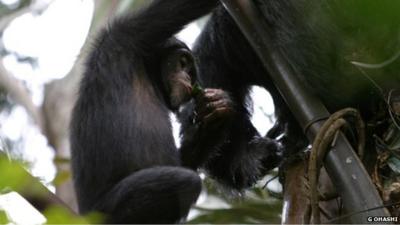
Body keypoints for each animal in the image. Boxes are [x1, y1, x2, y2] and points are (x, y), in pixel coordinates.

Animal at [69, 0, 282, 223]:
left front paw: (214, 125)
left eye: (190, 70)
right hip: (103, 212)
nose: (188, 77)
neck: (148, 73)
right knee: (186, 182)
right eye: (182, 62)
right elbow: (176, 10)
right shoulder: (126, 35)